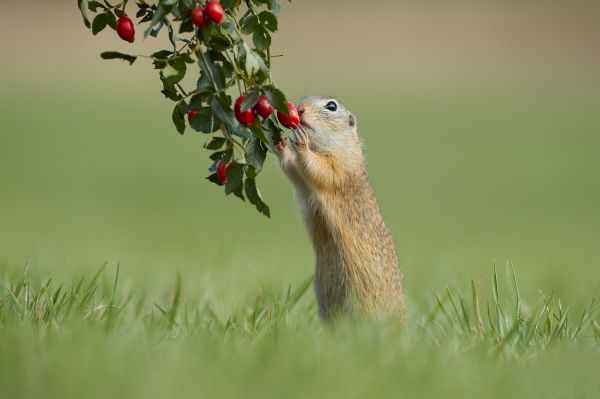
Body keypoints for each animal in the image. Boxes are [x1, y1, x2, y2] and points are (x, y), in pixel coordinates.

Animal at [274, 97, 406, 322]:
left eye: (331, 106)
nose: (299, 110)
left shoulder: (342, 165)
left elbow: (319, 169)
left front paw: (301, 142)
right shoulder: (303, 184)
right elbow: (295, 172)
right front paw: (281, 144)